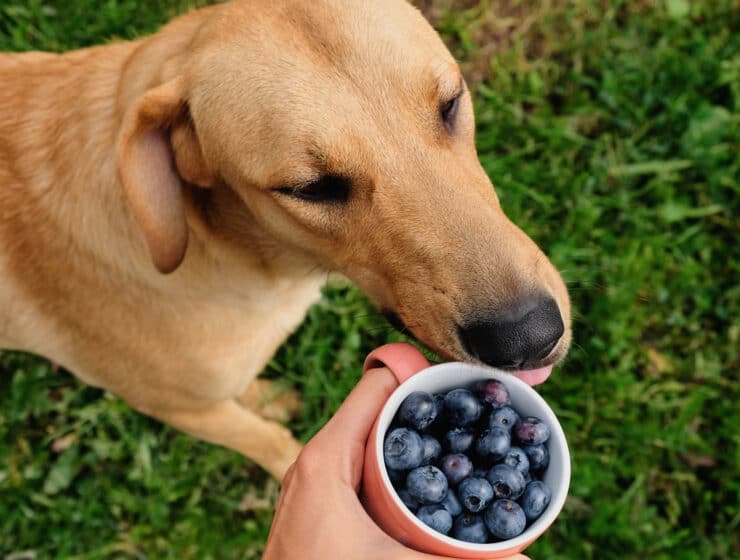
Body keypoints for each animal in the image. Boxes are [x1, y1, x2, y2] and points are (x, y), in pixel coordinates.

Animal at [0, 1, 572, 482]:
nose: (529, 337)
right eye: (311, 188)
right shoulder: (177, 407)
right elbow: (272, 442)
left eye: (450, 104)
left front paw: (265, 396)